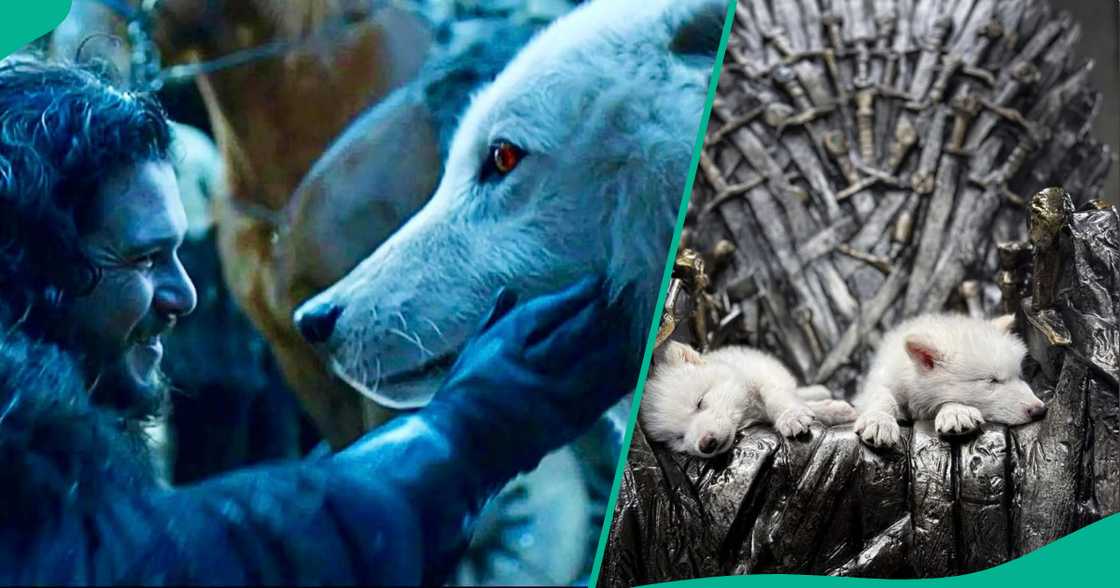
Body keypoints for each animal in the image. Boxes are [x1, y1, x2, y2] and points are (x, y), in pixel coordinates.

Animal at [642, 341, 857, 457]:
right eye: (678, 437)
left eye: (700, 402)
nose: (706, 444)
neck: (746, 411)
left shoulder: (762, 372)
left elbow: (777, 396)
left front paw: (791, 416)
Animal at [853, 313, 1048, 448]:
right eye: (992, 380)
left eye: (1019, 376)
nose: (1040, 410)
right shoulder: (883, 378)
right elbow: (882, 396)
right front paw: (879, 421)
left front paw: (956, 412)